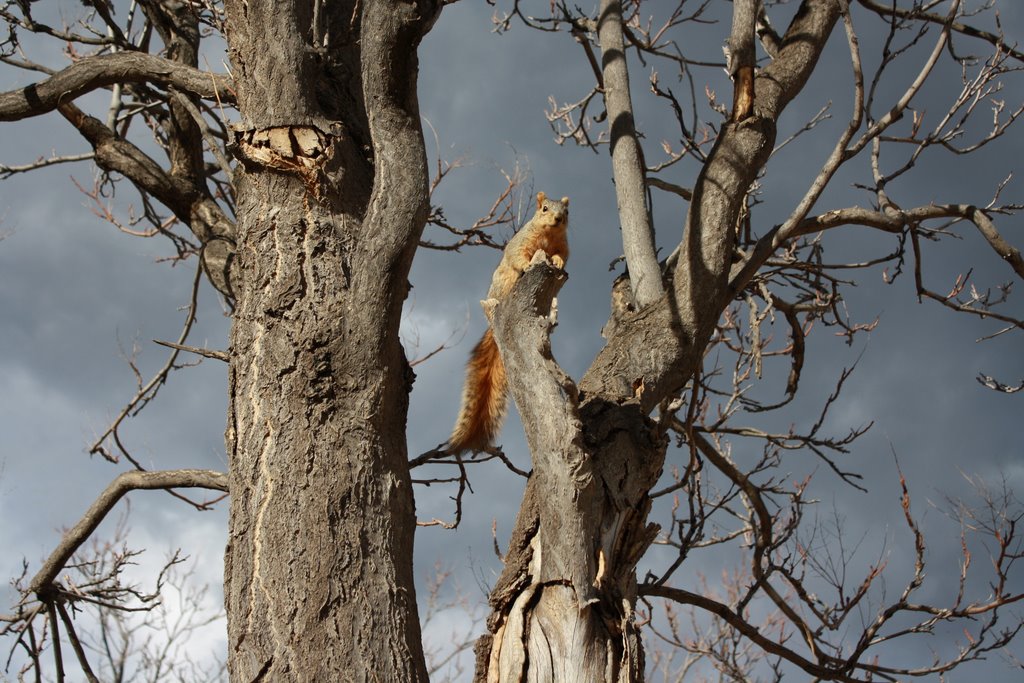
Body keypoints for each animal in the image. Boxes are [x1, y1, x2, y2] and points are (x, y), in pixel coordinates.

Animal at [446, 191, 573, 454]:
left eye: (566, 213)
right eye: (544, 209)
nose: (558, 218)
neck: (548, 235)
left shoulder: (563, 245)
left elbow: (562, 255)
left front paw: (557, 262)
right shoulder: (521, 243)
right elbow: (518, 255)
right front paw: (528, 265)